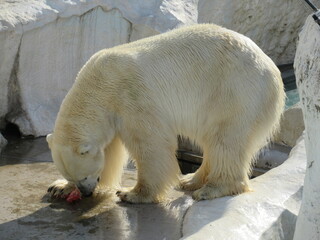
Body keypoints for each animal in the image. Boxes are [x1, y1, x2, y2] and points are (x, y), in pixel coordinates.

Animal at [45, 23, 284, 202]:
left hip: (235, 90)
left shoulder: (132, 97)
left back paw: (211, 188)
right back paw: (190, 180)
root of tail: (272, 68)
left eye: (85, 175)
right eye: (73, 176)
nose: (86, 192)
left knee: (226, 140)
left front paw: (133, 193)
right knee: (211, 140)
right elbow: (109, 152)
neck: (99, 84)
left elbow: (151, 144)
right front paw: (60, 187)